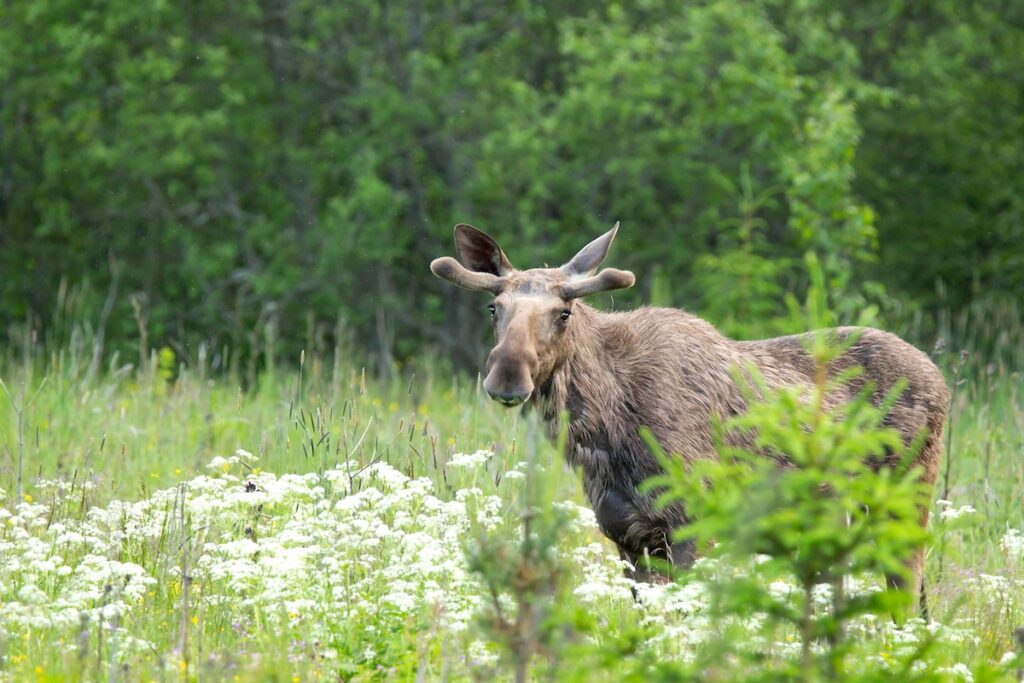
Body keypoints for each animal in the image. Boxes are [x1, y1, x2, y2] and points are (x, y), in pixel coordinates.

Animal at [430, 223, 948, 604]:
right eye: (494, 307)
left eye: (564, 312)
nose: (506, 376)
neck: (601, 437)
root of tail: (941, 377)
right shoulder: (625, 535)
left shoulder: (692, 524)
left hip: (906, 499)